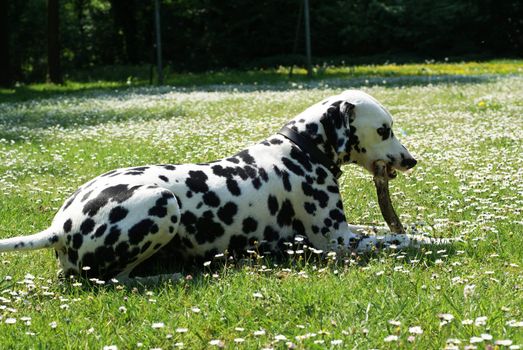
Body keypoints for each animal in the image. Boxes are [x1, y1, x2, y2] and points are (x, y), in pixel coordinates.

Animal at [1, 91, 450, 282]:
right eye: (385, 129)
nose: (411, 160)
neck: (301, 148)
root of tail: (59, 227)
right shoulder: (338, 242)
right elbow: (399, 240)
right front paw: (434, 240)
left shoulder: (350, 230)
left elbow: (388, 230)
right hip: (163, 202)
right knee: (112, 279)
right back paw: (169, 276)